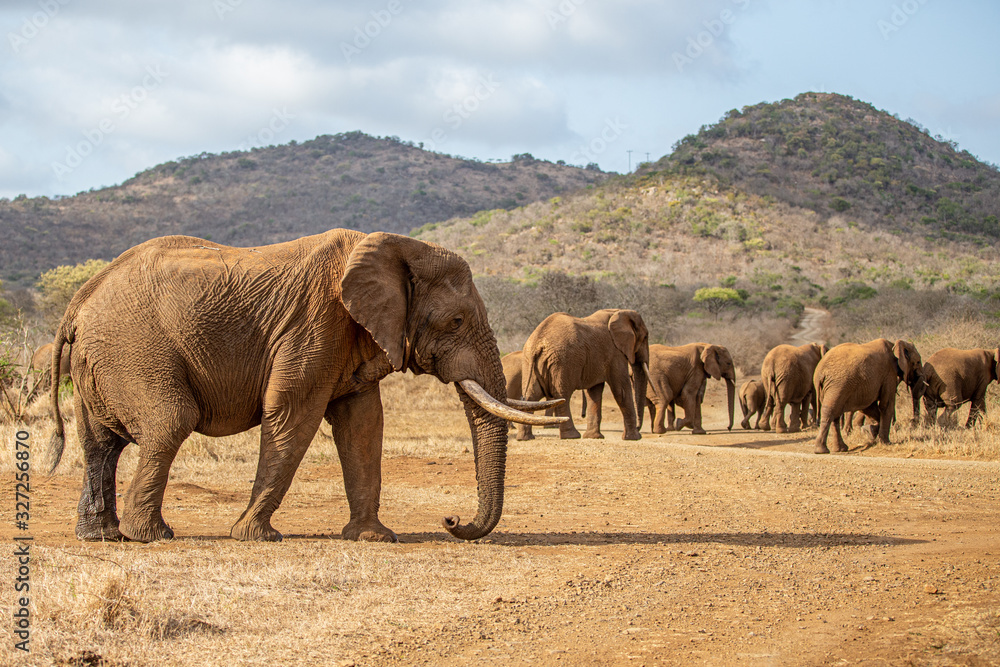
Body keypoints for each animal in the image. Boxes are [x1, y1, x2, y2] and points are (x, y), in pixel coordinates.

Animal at [47, 230, 562, 543]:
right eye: (455, 321)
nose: (451, 519)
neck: (392, 247)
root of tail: (79, 301)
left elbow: (363, 424)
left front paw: (373, 538)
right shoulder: (316, 323)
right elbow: (293, 413)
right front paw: (255, 536)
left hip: (102, 361)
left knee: (99, 442)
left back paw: (101, 536)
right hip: (134, 349)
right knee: (171, 421)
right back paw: (153, 536)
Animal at [517, 309, 649, 441]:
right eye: (645, 337)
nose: (639, 427)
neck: (619, 312)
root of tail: (538, 343)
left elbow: (594, 393)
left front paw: (593, 437)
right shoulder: (615, 352)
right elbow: (621, 391)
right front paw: (634, 438)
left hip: (529, 361)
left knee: (531, 397)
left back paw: (525, 438)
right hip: (563, 361)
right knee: (562, 396)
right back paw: (572, 436)